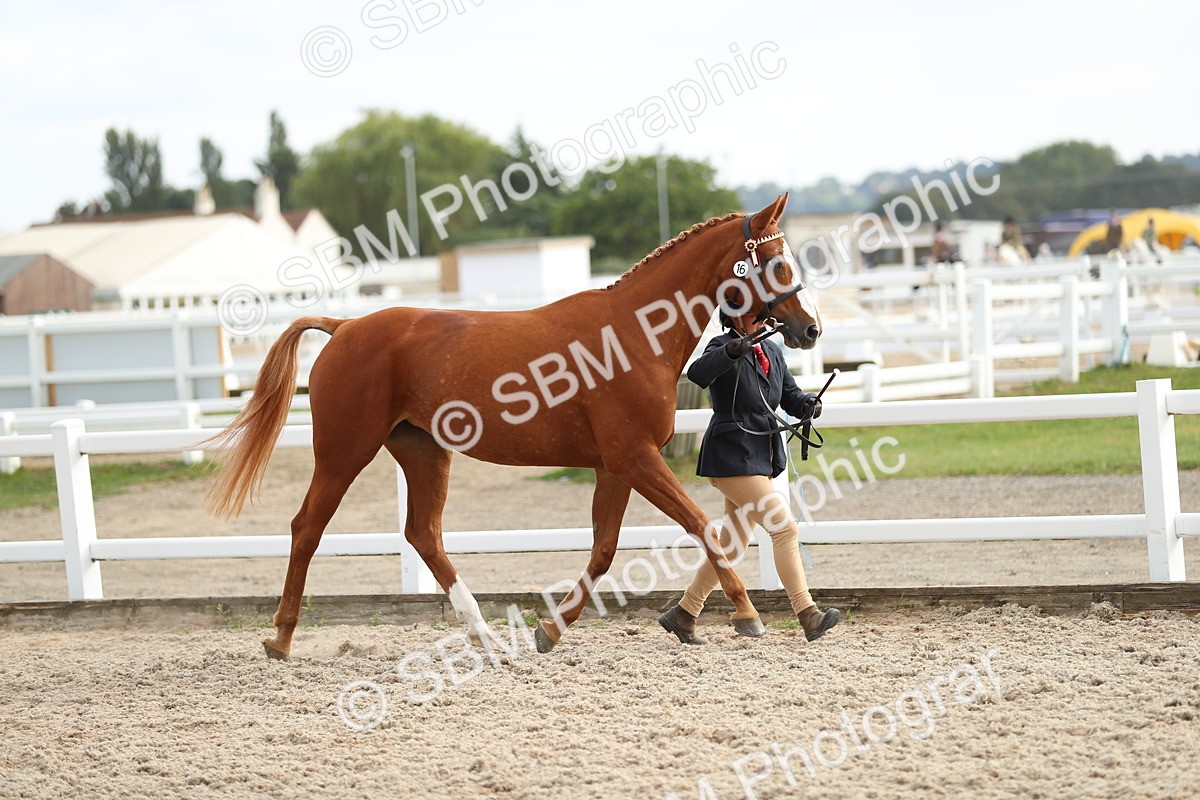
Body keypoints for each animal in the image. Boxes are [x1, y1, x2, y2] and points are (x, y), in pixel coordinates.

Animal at [204, 194, 822, 660]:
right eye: (777, 261)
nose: (810, 329)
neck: (632, 334)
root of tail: (345, 325)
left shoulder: (616, 467)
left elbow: (603, 550)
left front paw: (549, 631)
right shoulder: (636, 458)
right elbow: (700, 525)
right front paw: (747, 614)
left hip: (424, 452)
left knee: (423, 535)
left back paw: (483, 635)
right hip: (343, 452)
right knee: (307, 528)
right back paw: (281, 639)